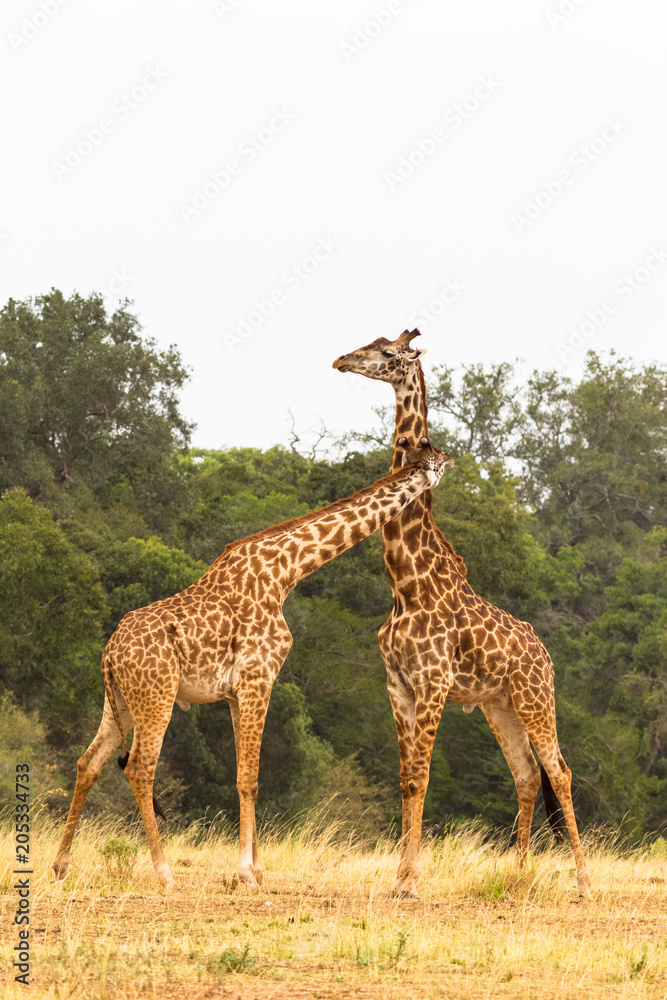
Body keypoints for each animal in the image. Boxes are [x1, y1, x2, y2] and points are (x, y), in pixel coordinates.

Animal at [52, 439, 450, 890]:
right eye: (436, 460)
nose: (449, 463)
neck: (286, 571)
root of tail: (110, 653)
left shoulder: (234, 692)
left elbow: (244, 774)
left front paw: (257, 870)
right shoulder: (260, 677)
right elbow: (251, 777)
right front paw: (246, 873)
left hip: (118, 700)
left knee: (88, 762)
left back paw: (61, 866)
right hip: (156, 697)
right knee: (139, 768)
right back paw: (165, 874)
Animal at [333, 330, 591, 898]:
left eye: (388, 354)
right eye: (371, 341)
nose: (340, 359)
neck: (405, 583)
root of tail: (546, 656)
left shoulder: (433, 683)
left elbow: (422, 775)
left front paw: (410, 880)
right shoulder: (398, 685)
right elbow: (406, 777)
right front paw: (399, 877)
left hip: (535, 698)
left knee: (559, 771)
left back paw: (584, 884)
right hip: (499, 705)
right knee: (526, 774)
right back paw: (517, 877)